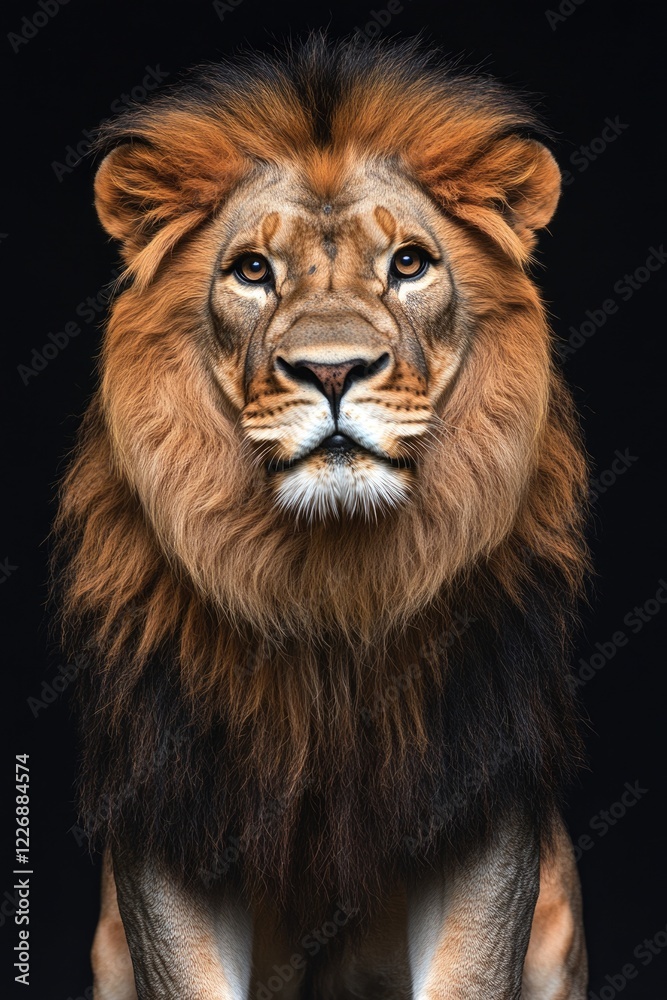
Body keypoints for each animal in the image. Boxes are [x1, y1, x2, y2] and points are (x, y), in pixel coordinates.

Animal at [55, 37, 590, 999]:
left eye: (409, 264)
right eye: (252, 270)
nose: (332, 370)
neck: (332, 587)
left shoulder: (479, 795)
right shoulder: (170, 805)